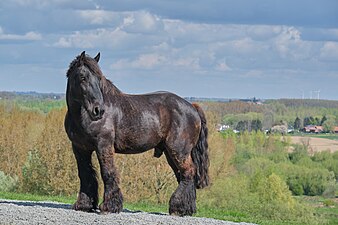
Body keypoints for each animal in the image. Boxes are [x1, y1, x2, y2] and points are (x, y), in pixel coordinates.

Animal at [64, 51, 209, 216]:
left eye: (99, 78)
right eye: (83, 77)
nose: (98, 110)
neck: (81, 116)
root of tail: (192, 107)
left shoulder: (103, 146)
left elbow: (108, 173)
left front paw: (109, 206)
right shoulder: (80, 148)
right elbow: (85, 174)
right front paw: (84, 205)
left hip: (179, 151)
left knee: (188, 172)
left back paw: (178, 208)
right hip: (171, 153)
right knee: (183, 175)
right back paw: (186, 208)